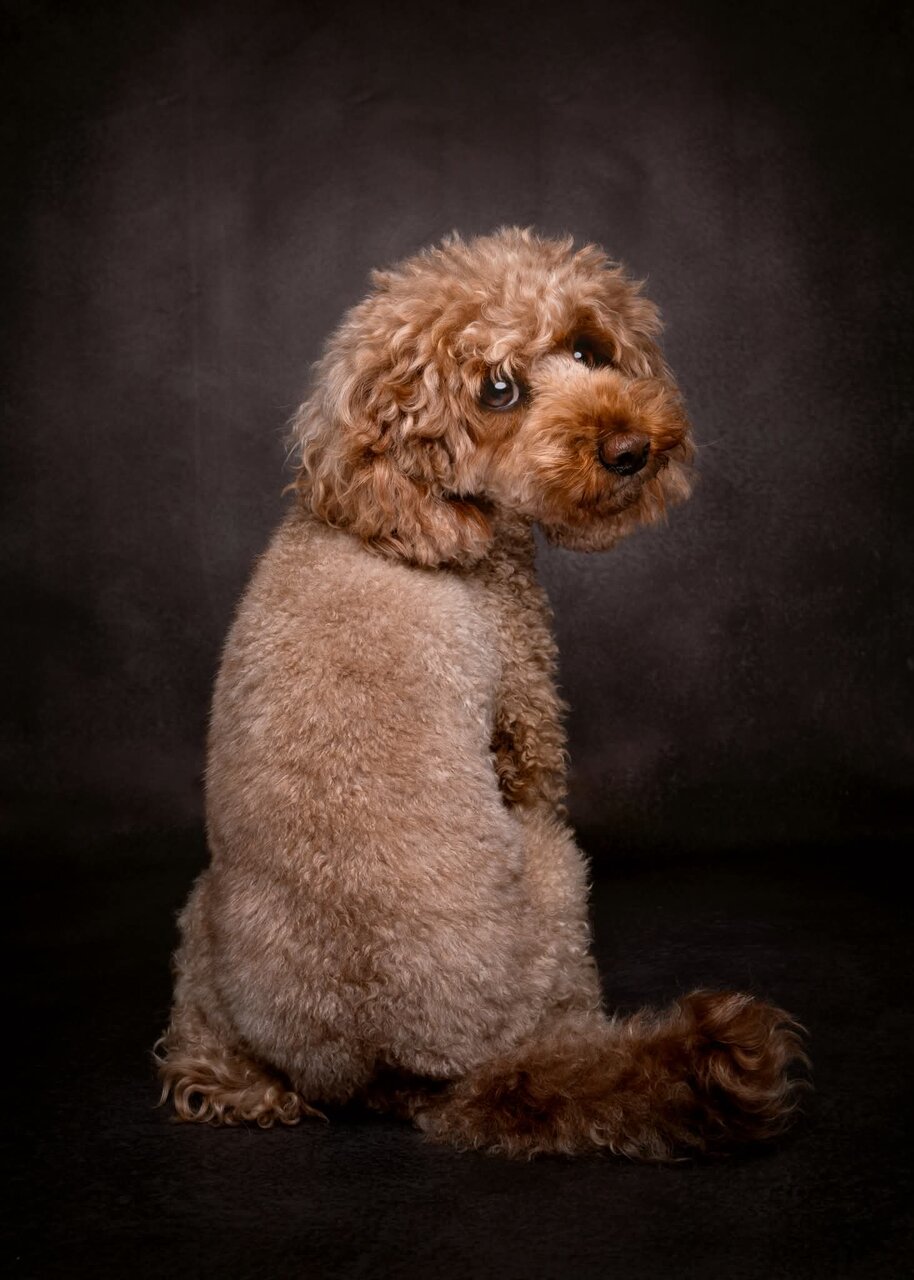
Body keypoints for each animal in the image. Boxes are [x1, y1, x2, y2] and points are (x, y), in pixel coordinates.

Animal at [157, 228, 805, 1158]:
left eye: (588, 349)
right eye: (498, 390)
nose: (630, 449)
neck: (395, 511)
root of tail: (388, 1065)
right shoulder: (525, 719)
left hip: (201, 918)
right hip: (556, 876)